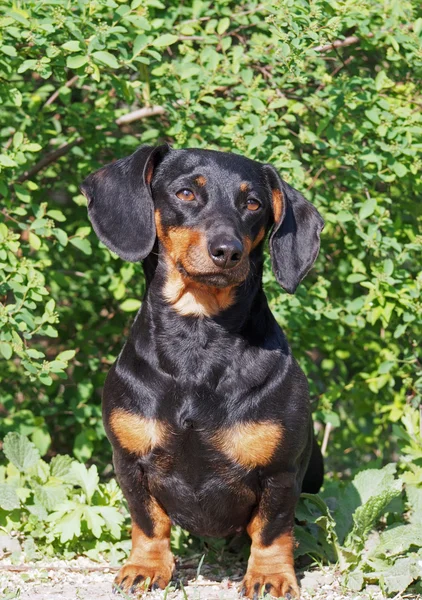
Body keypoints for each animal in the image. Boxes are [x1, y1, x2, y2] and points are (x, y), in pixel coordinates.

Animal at [81, 146, 324, 600]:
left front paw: (269, 576)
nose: (227, 251)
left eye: (253, 203)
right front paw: (145, 568)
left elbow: (272, 529)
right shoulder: (129, 461)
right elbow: (148, 522)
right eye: (186, 193)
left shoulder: (282, 472)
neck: (197, 341)